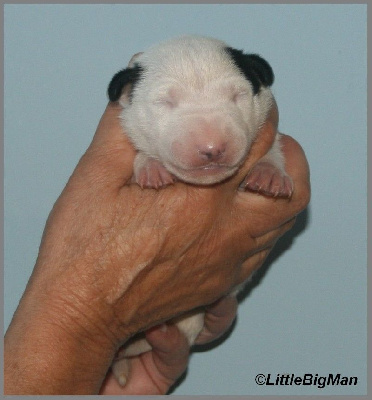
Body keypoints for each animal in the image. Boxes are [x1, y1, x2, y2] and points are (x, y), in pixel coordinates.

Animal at [107, 36, 294, 386]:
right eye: (166, 101)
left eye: (237, 95)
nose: (212, 148)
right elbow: (141, 152)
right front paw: (150, 167)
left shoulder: (268, 133)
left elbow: (273, 146)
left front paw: (269, 173)